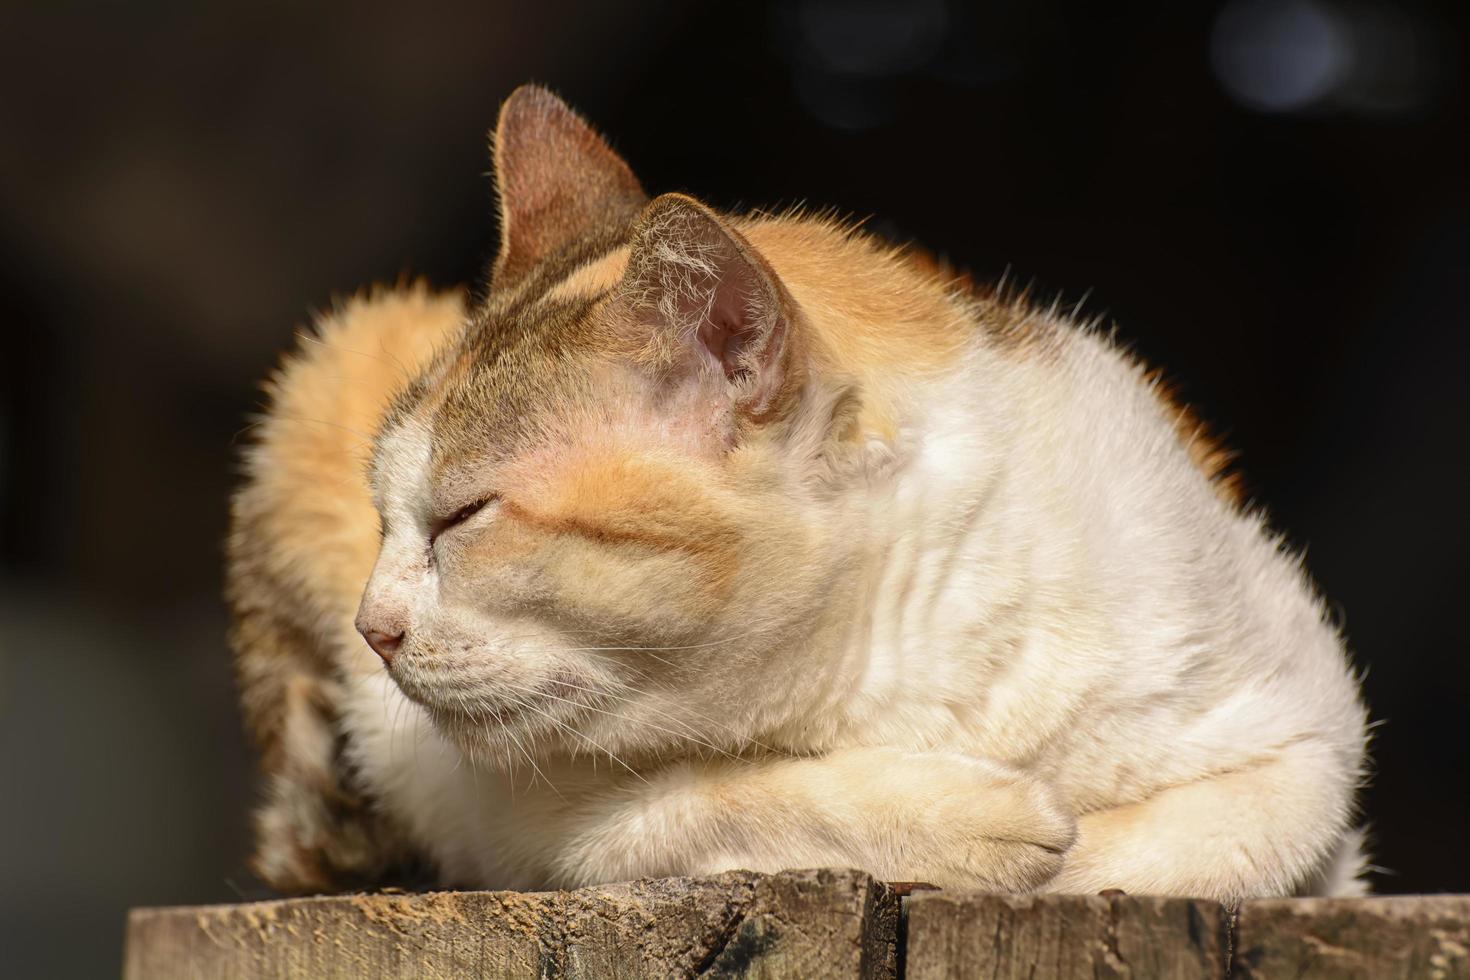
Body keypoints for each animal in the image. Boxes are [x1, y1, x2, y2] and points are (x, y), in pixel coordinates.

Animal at [226, 84, 1364, 905]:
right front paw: (981, 826)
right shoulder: (532, 818)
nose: (372, 626)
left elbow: (1205, 845)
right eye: (388, 518)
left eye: (465, 516)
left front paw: (1064, 848)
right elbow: (711, 799)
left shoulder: (1313, 738)